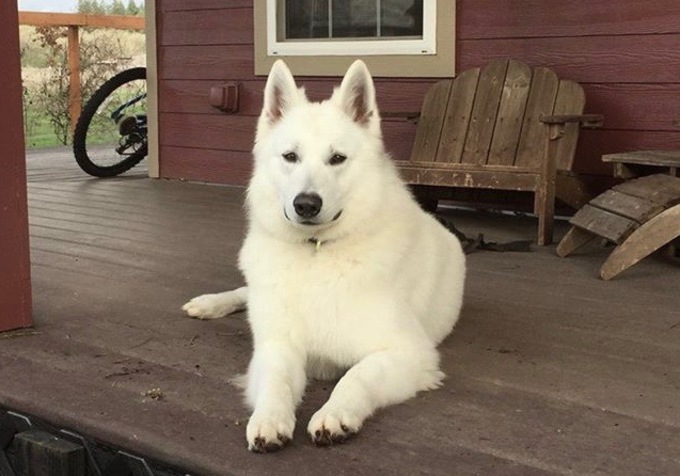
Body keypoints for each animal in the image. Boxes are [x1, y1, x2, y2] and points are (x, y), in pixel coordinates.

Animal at [183, 58, 464, 450]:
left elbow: (356, 376)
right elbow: (276, 383)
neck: (316, 254)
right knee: (244, 291)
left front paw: (335, 413)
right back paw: (209, 303)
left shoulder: (408, 353)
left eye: (337, 159)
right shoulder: (276, 346)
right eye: (290, 156)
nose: (306, 204)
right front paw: (270, 418)